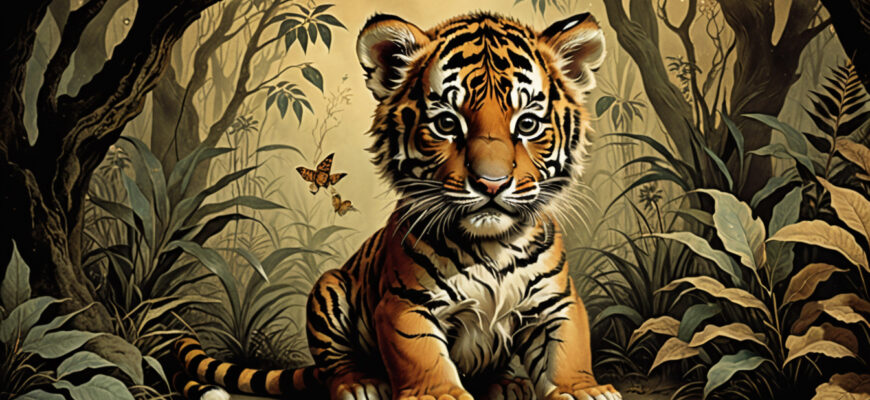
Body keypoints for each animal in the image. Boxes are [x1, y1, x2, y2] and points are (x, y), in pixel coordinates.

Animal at [171, 11, 621, 400]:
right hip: (328, 287)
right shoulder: (405, 303)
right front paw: (439, 395)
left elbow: (567, 349)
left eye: (527, 124)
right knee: (335, 365)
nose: (491, 183)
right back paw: (360, 384)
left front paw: (584, 390)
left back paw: (507, 384)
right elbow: (421, 353)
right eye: (447, 124)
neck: (491, 244)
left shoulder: (558, 303)